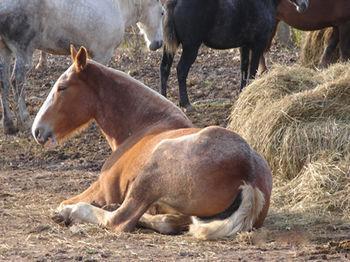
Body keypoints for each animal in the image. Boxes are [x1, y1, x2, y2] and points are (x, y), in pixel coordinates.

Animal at [0, 0, 164, 135]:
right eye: (162, 12)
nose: (158, 44)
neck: (119, 6)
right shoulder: (102, 54)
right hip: (23, 51)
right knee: (17, 81)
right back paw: (24, 120)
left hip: (5, 51)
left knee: (4, 83)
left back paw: (9, 125)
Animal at [31, 46, 272, 239]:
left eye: (62, 87)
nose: (37, 130)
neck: (147, 124)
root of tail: (249, 177)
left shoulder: (102, 189)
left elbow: (67, 202)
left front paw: (65, 210)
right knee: (169, 221)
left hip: (152, 171)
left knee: (120, 220)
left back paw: (71, 213)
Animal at [161, 0, 308, 108]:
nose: (304, 5)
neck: (263, 2)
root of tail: (175, 2)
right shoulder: (257, 46)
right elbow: (253, 71)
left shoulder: (244, 46)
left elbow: (244, 68)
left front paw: (242, 93)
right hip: (191, 47)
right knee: (181, 70)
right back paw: (186, 103)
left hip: (170, 47)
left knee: (164, 69)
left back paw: (164, 98)